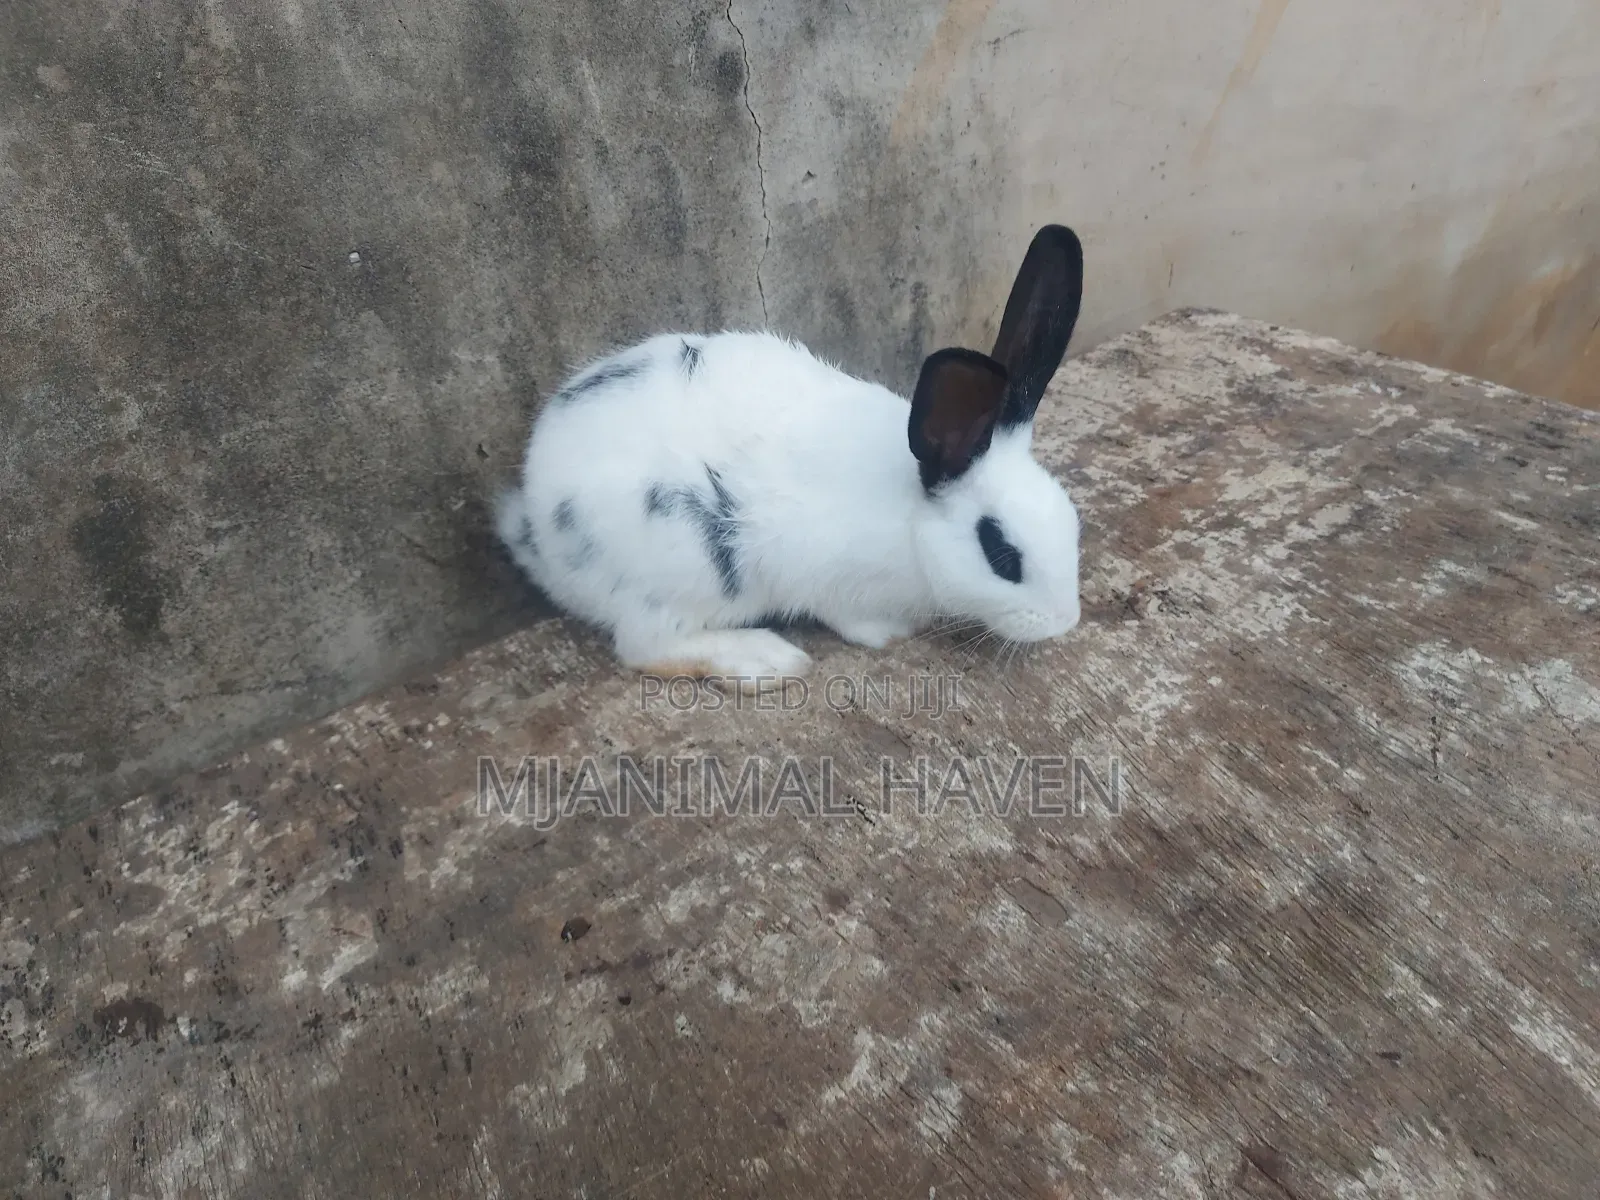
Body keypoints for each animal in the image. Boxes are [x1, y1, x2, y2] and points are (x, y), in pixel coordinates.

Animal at [495, 223, 1085, 685]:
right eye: (1002, 556)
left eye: (1072, 521)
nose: (1064, 622)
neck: (911, 527)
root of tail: (539, 535)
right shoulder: (830, 578)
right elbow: (851, 619)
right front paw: (893, 633)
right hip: (680, 574)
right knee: (645, 647)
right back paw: (766, 660)